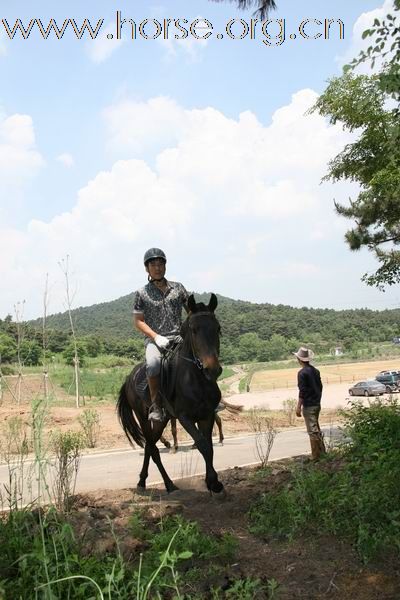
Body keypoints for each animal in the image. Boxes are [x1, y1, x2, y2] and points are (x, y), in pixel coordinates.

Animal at [118, 292, 225, 494]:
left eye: (218, 328)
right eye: (194, 330)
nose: (212, 369)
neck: (195, 379)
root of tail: (129, 378)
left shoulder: (206, 415)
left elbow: (209, 447)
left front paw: (212, 482)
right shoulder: (185, 417)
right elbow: (203, 445)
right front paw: (214, 482)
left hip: (162, 420)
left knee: (150, 446)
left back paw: (142, 481)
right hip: (143, 417)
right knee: (152, 448)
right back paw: (168, 484)